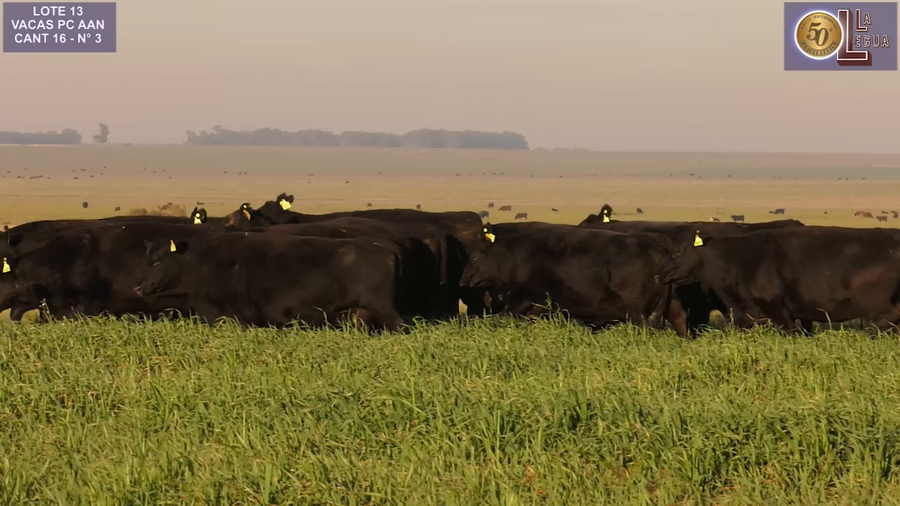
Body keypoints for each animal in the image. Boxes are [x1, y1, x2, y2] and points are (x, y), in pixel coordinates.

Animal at [135, 234, 404, 330]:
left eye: (156, 261)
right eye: (146, 259)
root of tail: (383, 245)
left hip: (384, 308)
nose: (137, 287)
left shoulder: (240, 318)